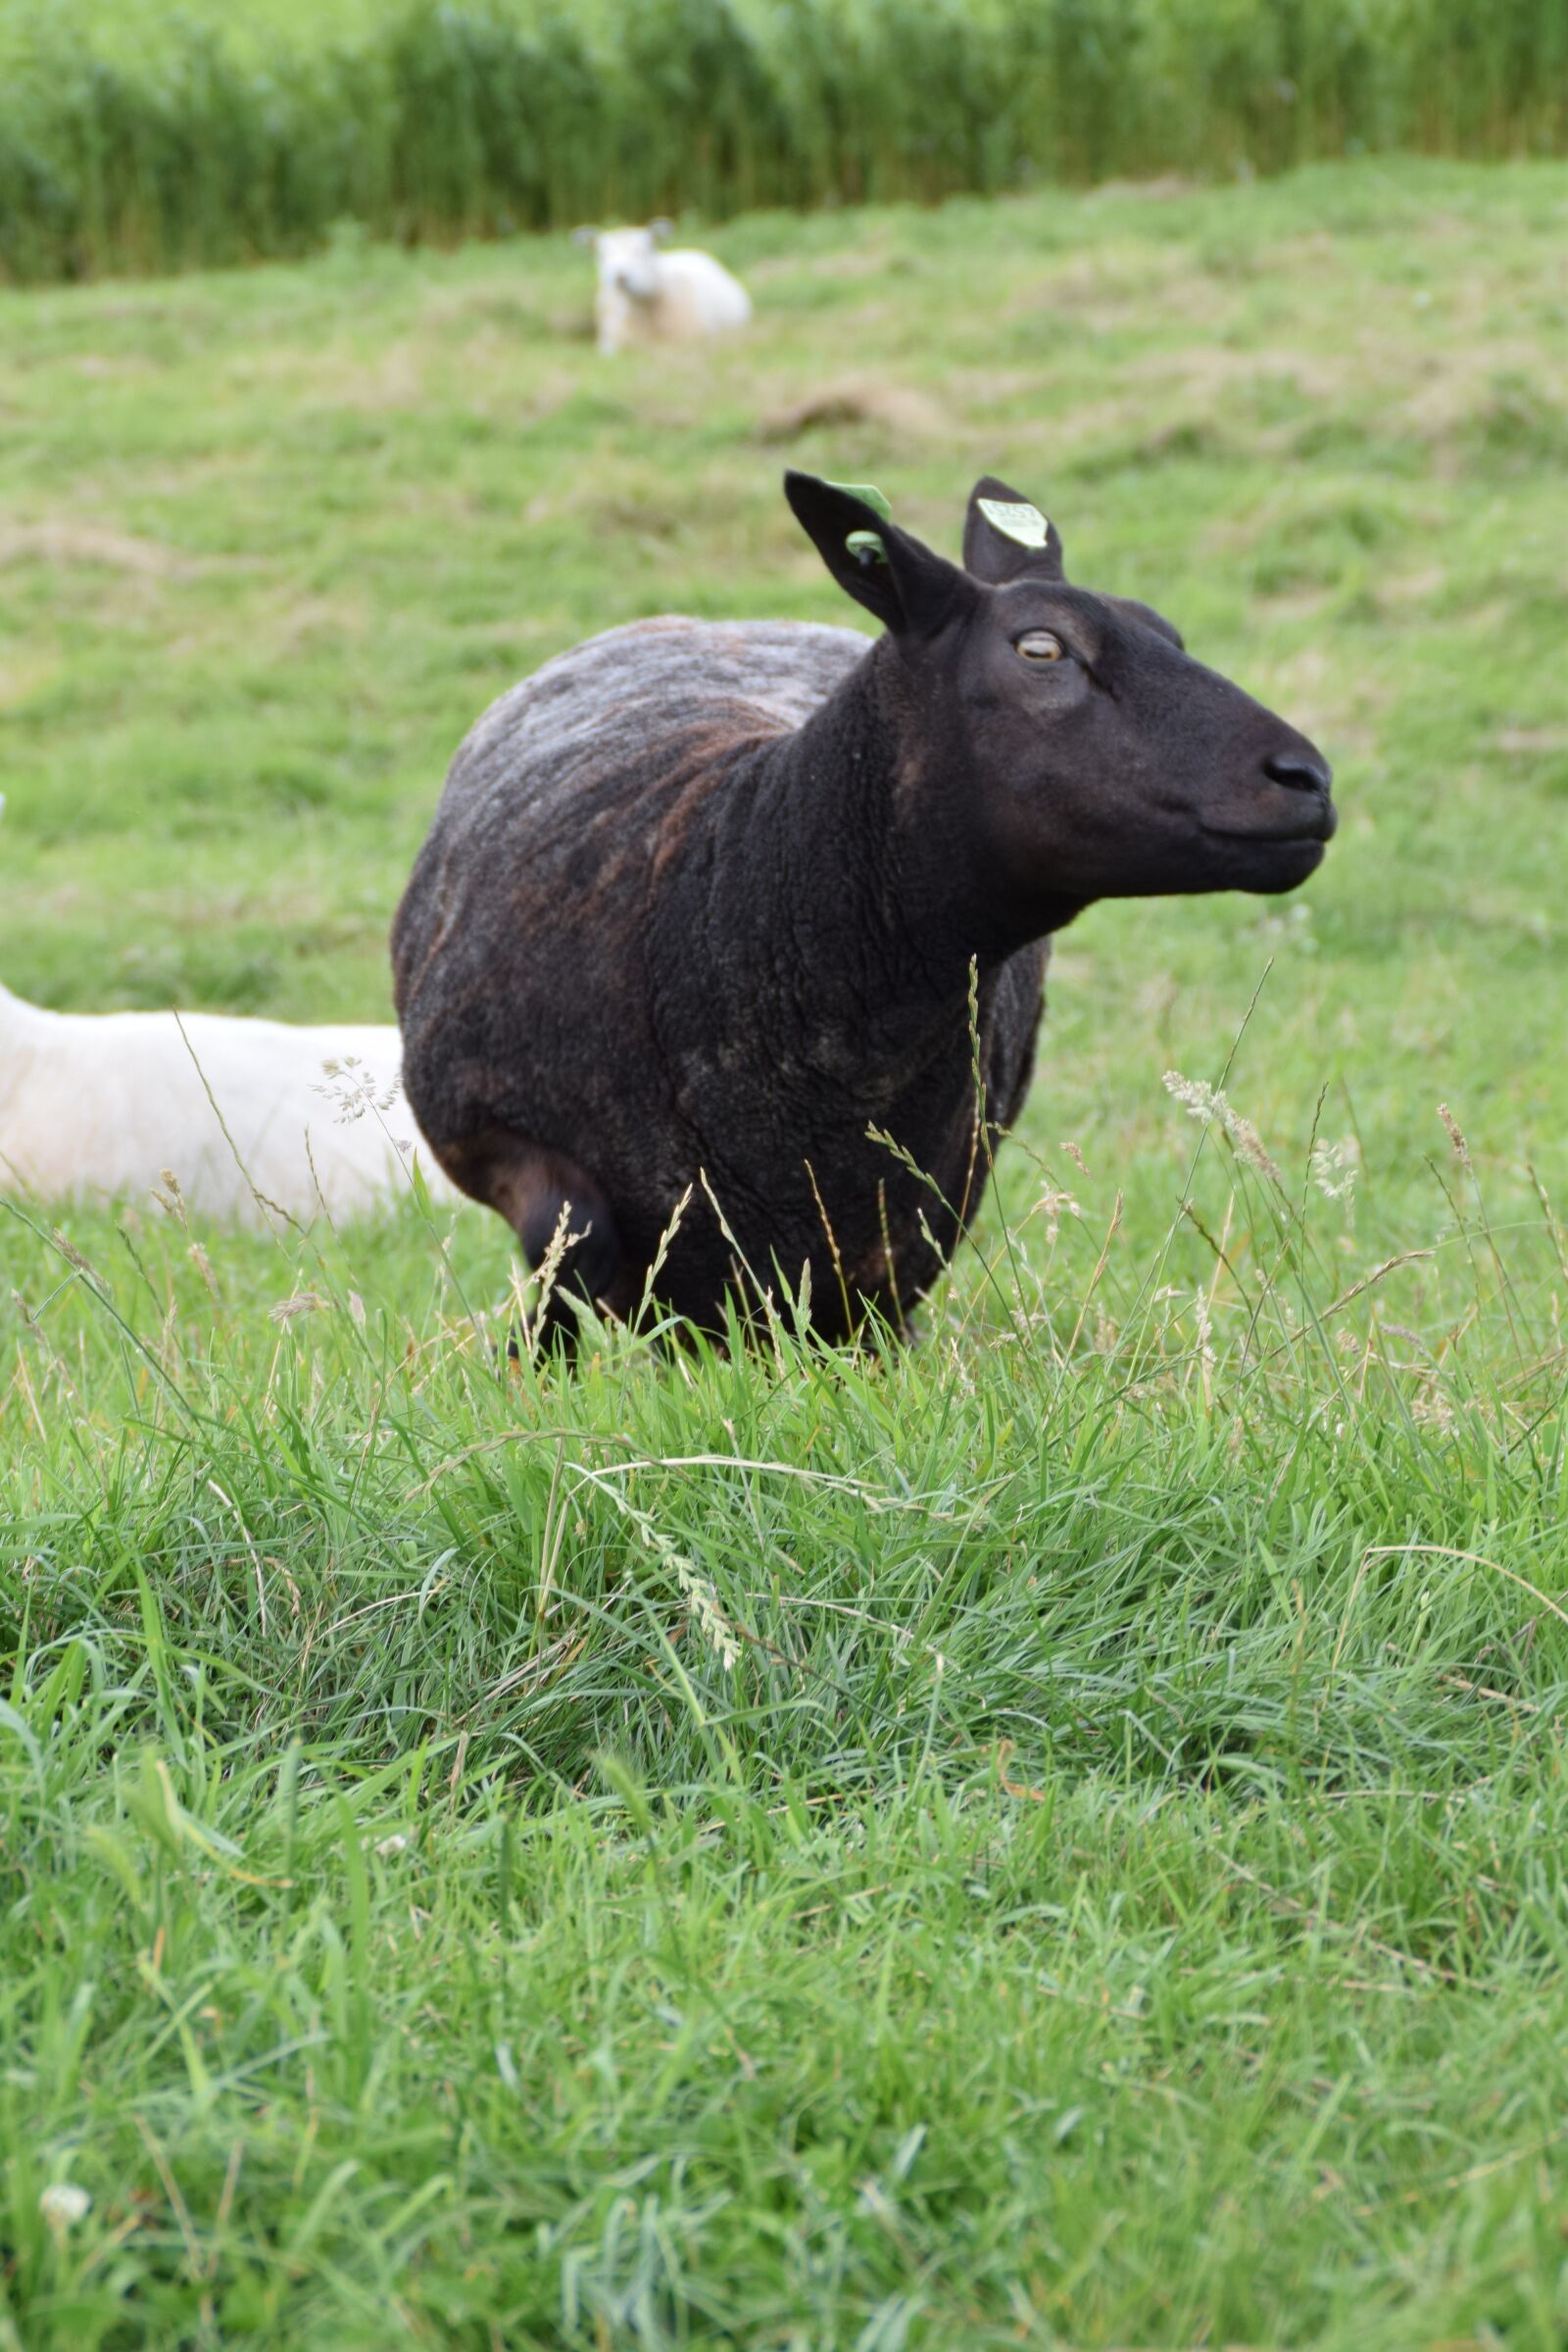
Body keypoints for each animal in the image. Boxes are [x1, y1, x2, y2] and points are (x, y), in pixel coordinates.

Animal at [392, 471, 1335, 1345]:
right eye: (1041, 649)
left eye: (1169, 631)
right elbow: (572, 1259)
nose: (1308, 780)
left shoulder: (913, 1217)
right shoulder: (496, 1136)